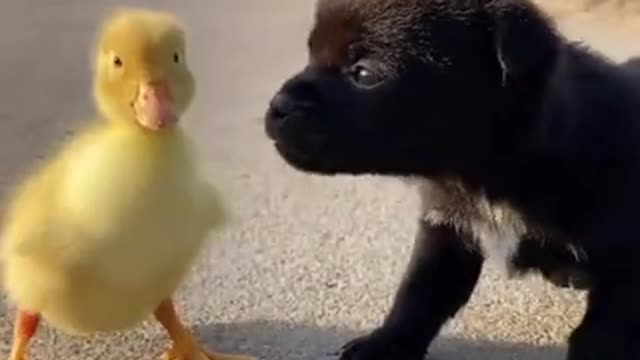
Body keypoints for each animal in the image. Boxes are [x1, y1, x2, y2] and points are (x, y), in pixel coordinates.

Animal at [262, 0, 640, 360]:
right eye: (311, 52)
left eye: (363, 72)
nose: (279, 104)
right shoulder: (446, 229)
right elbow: (419, 294)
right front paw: (384, 344)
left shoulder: (625, 258)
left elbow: (601, 333)